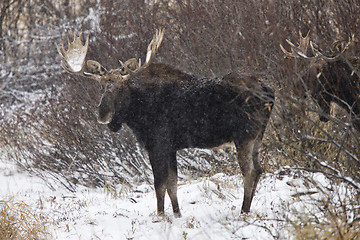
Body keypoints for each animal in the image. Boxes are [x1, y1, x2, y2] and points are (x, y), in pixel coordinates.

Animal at [57, 29, 274, 217]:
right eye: (101, 87)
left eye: (120, 87)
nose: (103, 115)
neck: (136, 113)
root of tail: (268, 90)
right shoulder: (170, 147)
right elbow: (172, 184)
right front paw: (177, 214)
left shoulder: (157, 144)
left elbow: (159, 184)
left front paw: (160, 216)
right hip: (257, 136)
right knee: (259, 169)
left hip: (244, 135)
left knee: (249, 172)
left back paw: (243, 211)